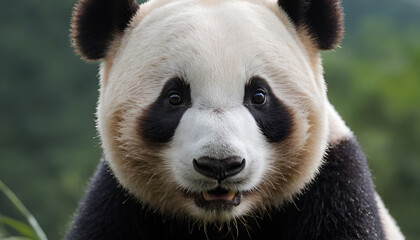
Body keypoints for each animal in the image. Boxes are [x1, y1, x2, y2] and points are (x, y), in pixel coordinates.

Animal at [65, 0, 404, 238]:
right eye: (174, 98)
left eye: (259, 96)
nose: (220, 165)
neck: (223, 224)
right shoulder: (119, 204)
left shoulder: (334, 187)